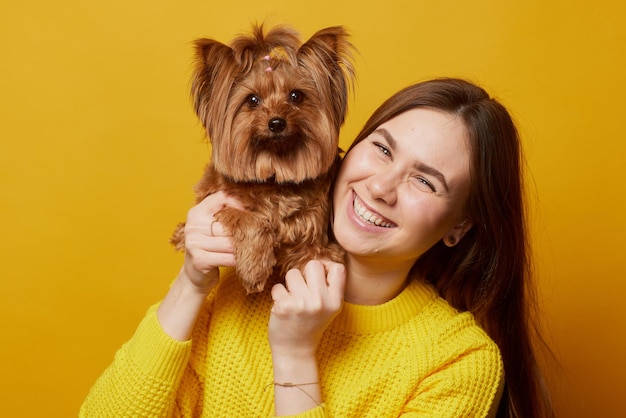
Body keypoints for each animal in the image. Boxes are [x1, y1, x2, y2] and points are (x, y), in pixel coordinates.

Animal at [171, 25, 354, 294]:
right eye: (252, 100)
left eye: (296, 96)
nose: (276, 122)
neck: (274, 173)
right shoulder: (215, 200)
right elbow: (249, 218)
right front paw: (253, 270)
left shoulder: (311, 235)